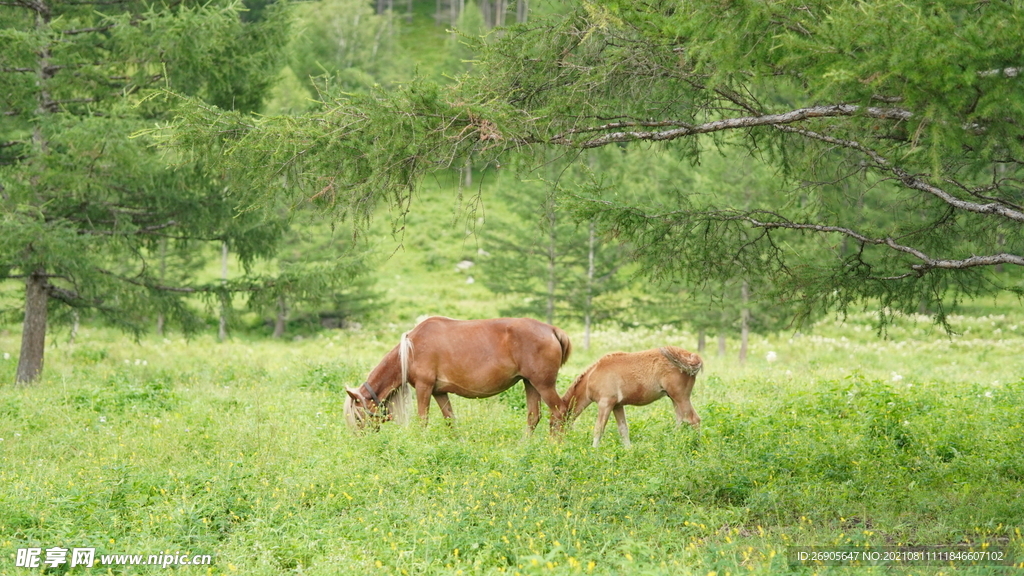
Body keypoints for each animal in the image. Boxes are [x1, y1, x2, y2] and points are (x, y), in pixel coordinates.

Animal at [342, 315, 569, 432]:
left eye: (358, 417)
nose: (362, 440)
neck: (411, 350)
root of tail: (551, 330)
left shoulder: (424, 388)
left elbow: (422, 420)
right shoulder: (439, 392)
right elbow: (450, 420)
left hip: (544, 385)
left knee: (560, 413)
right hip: (530, 384)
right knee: (533, 417)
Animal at [561, 344, 704, 444]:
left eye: (556, 422)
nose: (559, 443)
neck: (592, 376)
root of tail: (691, 356)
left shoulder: (605, 403)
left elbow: (598, 429)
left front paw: (594, 451)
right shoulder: (617, 406)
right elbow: (623, 429)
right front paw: (628, 451)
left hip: (681, 397)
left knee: (693, 419)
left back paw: (696, 445)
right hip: (673, 398)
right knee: (681, 420)